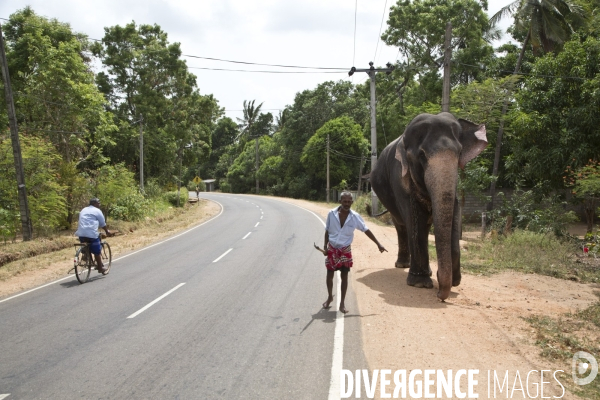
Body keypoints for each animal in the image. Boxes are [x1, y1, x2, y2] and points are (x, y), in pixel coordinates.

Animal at [370, 112, 488, 300]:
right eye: (422, 155)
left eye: (459, 152)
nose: (440, 295)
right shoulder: (400, 180)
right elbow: (415, 220)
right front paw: (421, 284)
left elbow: (454, 215)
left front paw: (453, 281)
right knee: (402, 225)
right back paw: (403, 266)